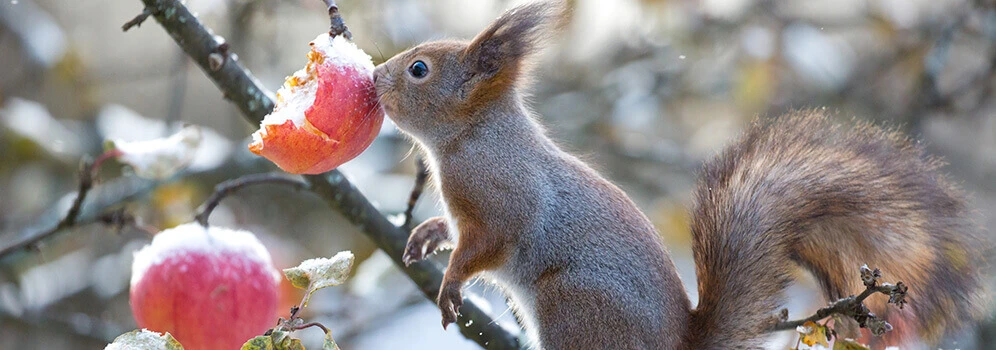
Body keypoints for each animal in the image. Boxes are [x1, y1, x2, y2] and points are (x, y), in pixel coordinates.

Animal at [372, 1, 988, 348]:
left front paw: (451, 283)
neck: (471, 137)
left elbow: (488, 244)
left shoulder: (501, 196)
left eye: (419, 69)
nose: (374, 77)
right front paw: (427, 235)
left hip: (574, 307)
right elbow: (454, 231)